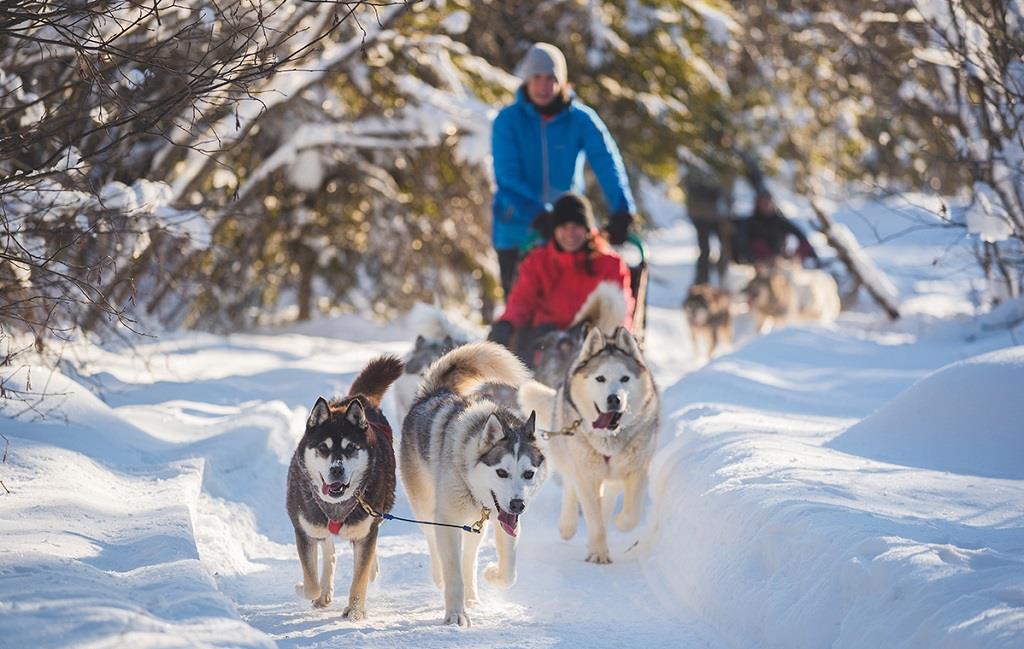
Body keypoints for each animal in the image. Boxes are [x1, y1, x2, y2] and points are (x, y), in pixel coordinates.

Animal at [288, 354, 403, 618]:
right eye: (323, 447)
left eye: (350, 447)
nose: (337, 470)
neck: (337, 506)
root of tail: (360, 398)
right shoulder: (305, 531)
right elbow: (310, 581)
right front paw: (306, 588)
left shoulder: (365, 532)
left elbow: (359, 575)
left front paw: (355, 611)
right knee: (328, 550)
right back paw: (324, 592)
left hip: (382, 507)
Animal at [399, 341, 544, 622]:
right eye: (502, 472)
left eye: (528, 474)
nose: (518, 504)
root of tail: (435, 392)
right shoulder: (446, 520)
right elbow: (453, 572)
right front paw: (455, 615)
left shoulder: (503, 520)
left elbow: (508, 572)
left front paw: (492, 574)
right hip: (426, 506)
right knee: (434, 543)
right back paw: (441, 577)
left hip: (477, 525)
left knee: (469, 558)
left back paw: (473, 596)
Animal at [520, 325, 655, 565]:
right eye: (600, 378)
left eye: (625, 378)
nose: (614, 399)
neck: (608, 438)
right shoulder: (585, 473)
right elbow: (593, 518)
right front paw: (599, 552)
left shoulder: (637, 469)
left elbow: (631, 515)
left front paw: (619, 523)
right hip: (569, 456)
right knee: (571, 485)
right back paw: (568, 525)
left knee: (608, 495)